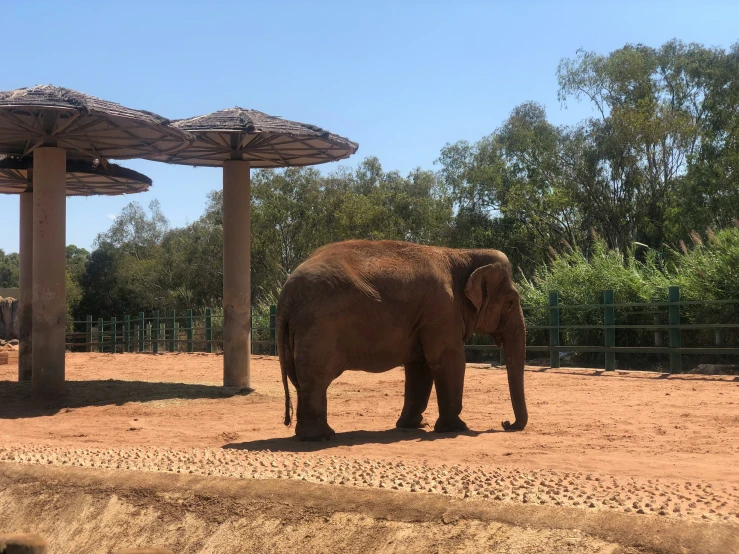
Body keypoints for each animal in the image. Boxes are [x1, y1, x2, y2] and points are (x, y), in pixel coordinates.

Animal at [276, 237, 528, 440]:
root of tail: (286, 294)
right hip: (319, 327)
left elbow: (420, 367)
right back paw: (322, 437)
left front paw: (415, 425)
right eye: (511, 302)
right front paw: (457, 428)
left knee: (299, 379)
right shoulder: (442, 310)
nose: (506, 423)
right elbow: (448, 361)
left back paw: (308, 435)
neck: (461, 254)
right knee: (316, 378)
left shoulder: (426, 317)